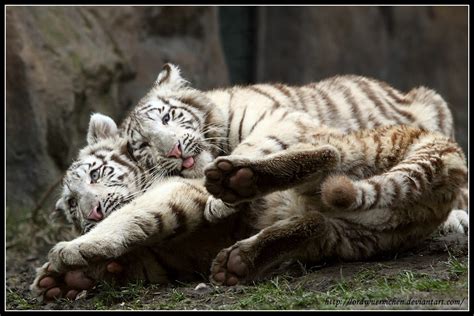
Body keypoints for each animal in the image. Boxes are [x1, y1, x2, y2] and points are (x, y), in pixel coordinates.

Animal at [31, 114, 468, 302]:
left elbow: (138, 216)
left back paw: (237, 179)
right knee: (314, 223)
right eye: (70, 203)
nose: (91, 213)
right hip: (354, 236)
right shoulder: (175, 255)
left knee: (326, 154)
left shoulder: (179, 192)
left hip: (347, 148)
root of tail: (446, 155)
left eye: (96, 173)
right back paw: (239, 261)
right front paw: (68, 281)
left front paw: (71, 254)